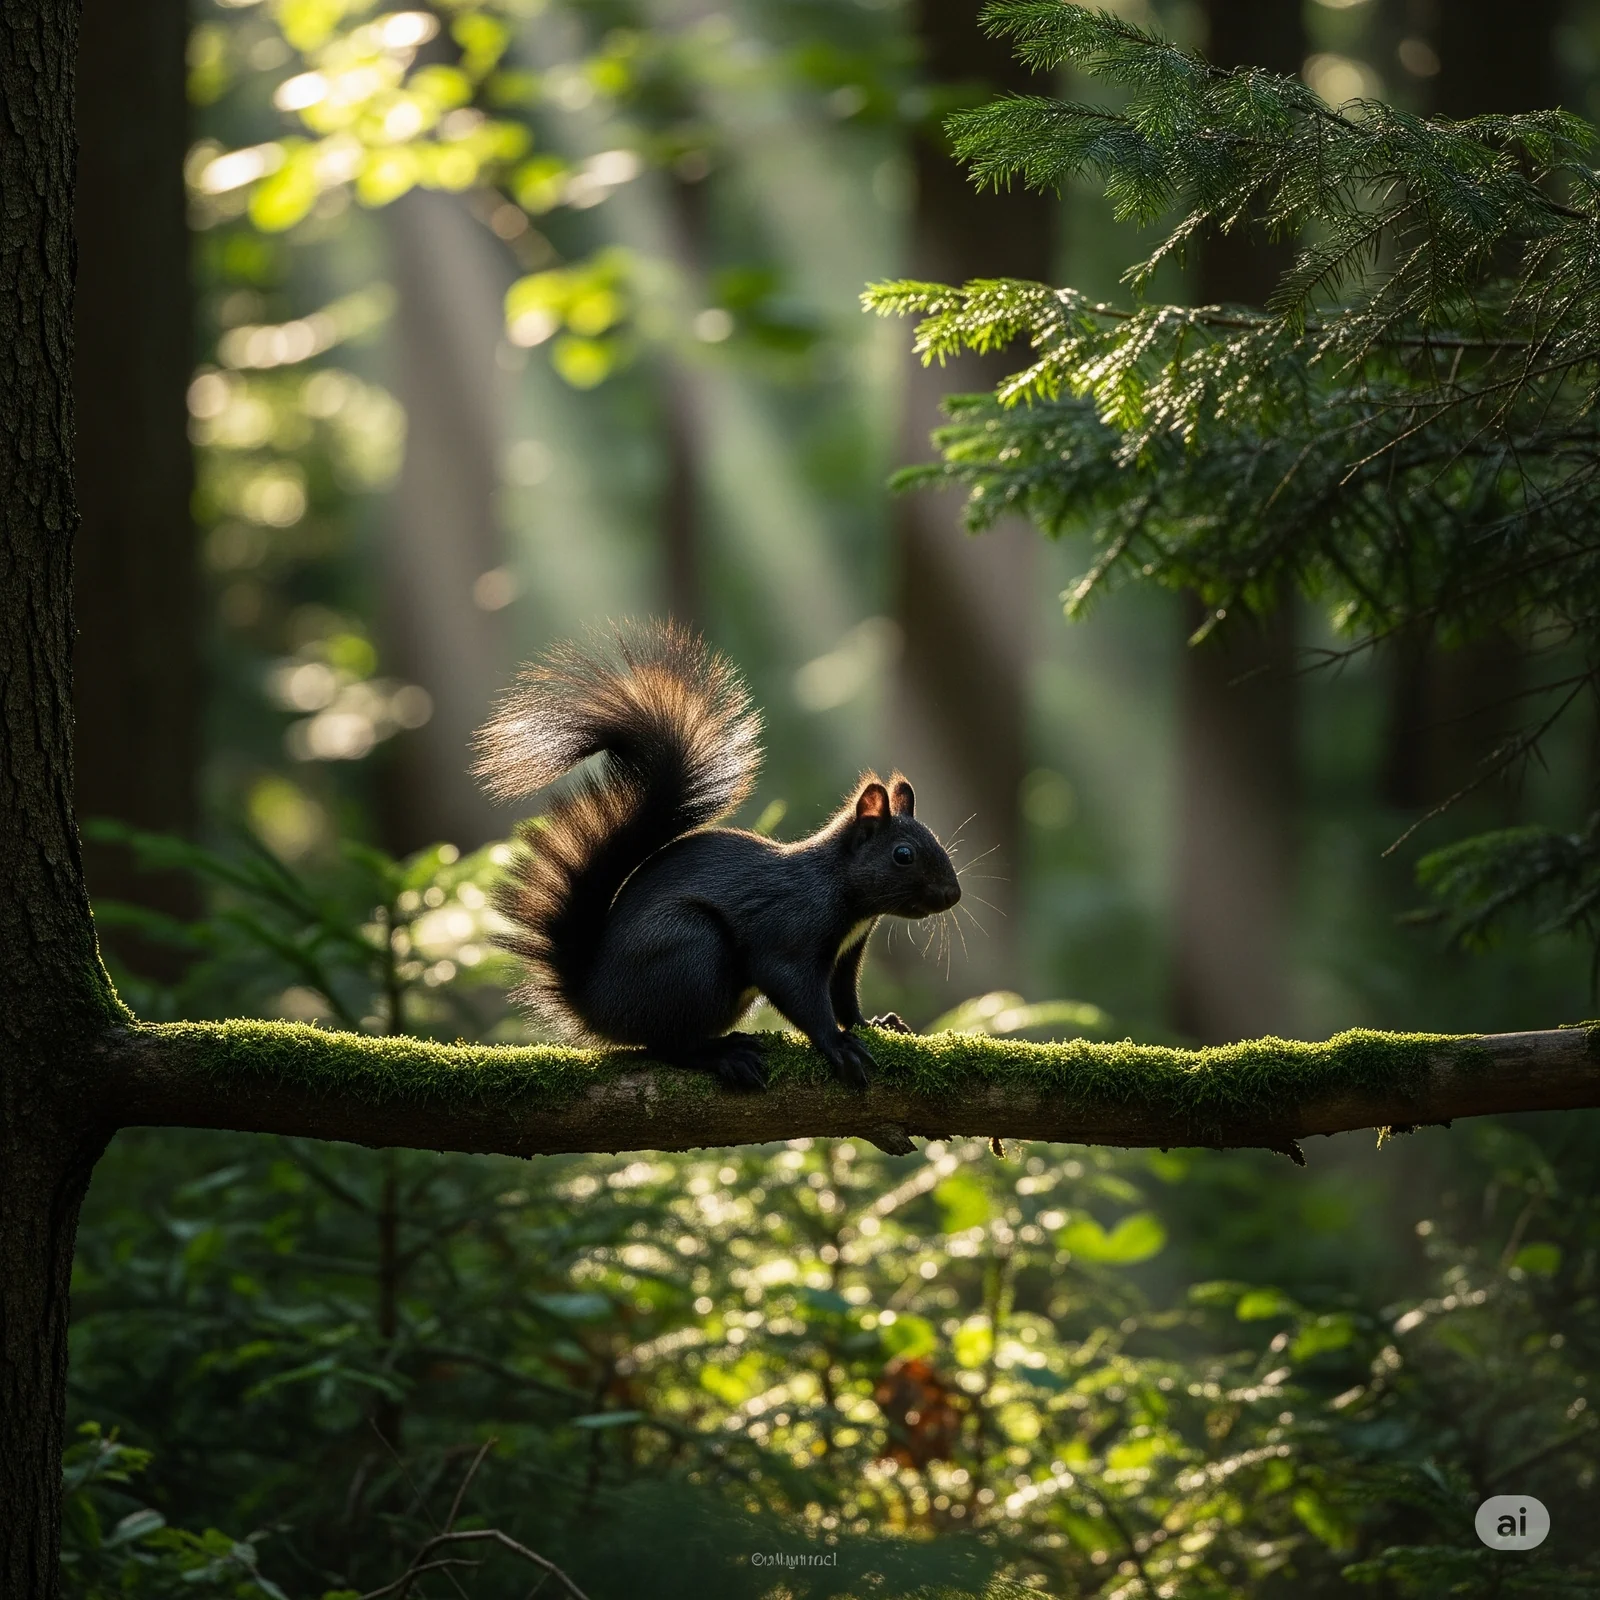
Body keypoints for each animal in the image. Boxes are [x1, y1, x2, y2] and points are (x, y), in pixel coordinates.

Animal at [473, 620, 961, 1091]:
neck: (841, 889)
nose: (952, 895)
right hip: (691, 952)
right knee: (667, 1046)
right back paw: (724, 1055)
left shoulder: (847, 954)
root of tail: (595, 1003)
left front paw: (875, 1024)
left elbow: (844, 999)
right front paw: (838, 1045)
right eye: (903, 854)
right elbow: (797, 992)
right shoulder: (789, 930)